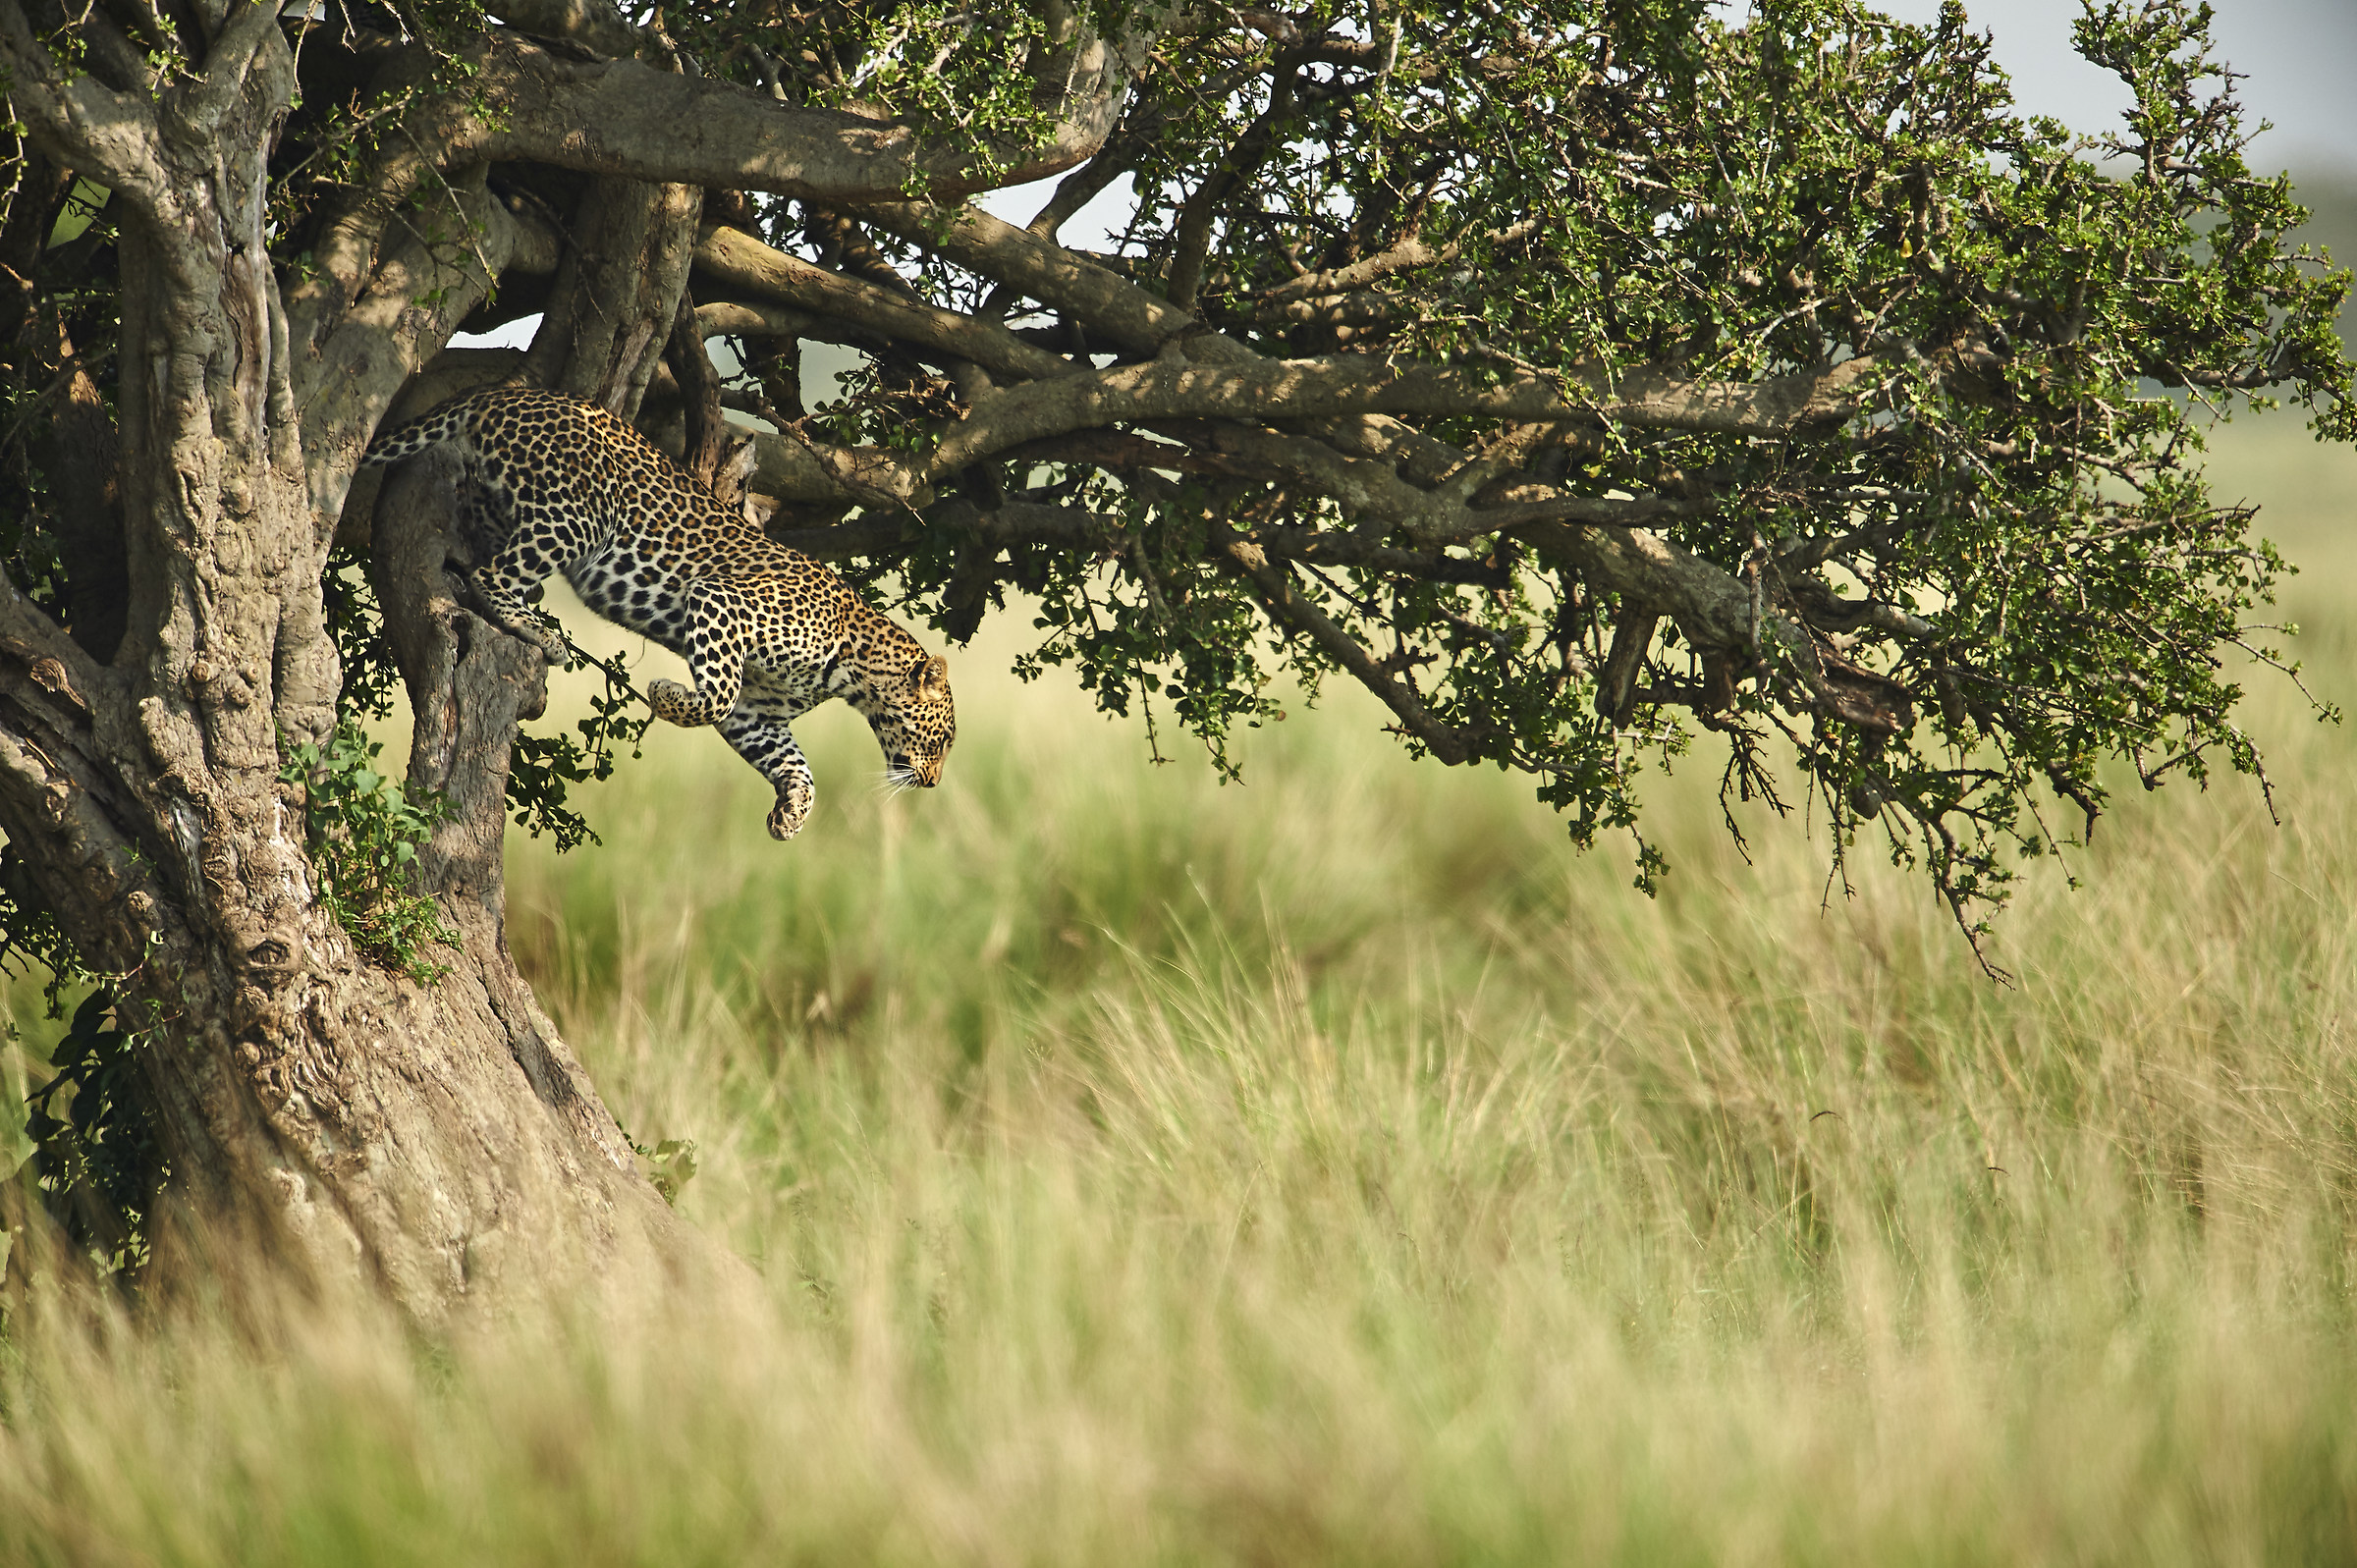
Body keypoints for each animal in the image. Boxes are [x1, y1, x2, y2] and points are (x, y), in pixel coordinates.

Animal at [362, 384, 954, 841]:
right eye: (943, 740)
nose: (933, 782)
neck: (853, 672)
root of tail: (509, 393)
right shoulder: (720, 600)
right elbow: (716, 696)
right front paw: (664, 693)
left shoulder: (758, 712)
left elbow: (792, 762)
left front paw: (792, 814)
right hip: (582, 515)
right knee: (493, 577)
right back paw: (540, 632)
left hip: (507, 503)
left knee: (477, 552)